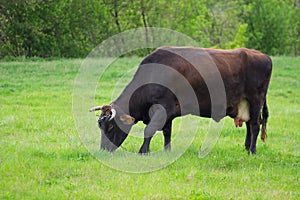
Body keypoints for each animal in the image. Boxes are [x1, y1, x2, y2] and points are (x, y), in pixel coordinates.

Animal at [89, 47, 272, 155]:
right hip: (246, 104)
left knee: (254, 125)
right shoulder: (168, 112)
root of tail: (263, 55)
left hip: (255, 99)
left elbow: (149, 130)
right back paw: (246, 147)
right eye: (100, 125)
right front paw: (167, 151)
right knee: (249, 125)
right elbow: (166, 132)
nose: (103, 150)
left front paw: (143, 151)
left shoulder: (163, 108)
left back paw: (252, 150)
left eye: (111, 126)